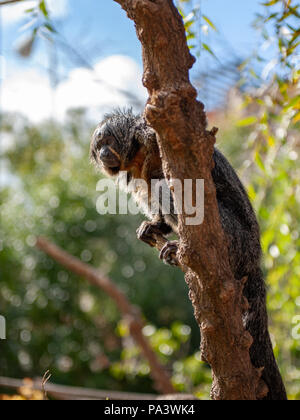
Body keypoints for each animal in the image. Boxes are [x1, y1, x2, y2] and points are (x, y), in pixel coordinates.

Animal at [90, 108, 288, 400]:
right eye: (99, 146)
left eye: (108, 142)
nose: (103, 152)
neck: (139, 156)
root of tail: (254, 258)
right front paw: (155, 226)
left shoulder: (151, 136)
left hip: (235, 239)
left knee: (166, 187)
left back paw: (183, 247)